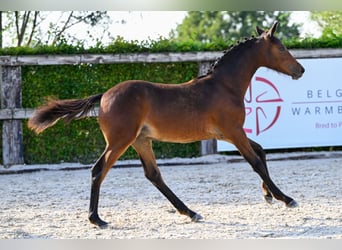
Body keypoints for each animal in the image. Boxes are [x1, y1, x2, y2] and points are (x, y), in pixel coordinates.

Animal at [27, 22, 304, 228]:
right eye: (281, 48)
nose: (300, 70)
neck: (224, 86)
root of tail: (104, 96)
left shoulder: (227, 134)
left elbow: (261, 152)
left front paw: (268, 195)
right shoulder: (233, 132)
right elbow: (254, 160)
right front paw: (285, 198)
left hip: (141, 141)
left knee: (153, 174)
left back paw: (190, 212)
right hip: (120, 141)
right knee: (99, 170)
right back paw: (97, 219)